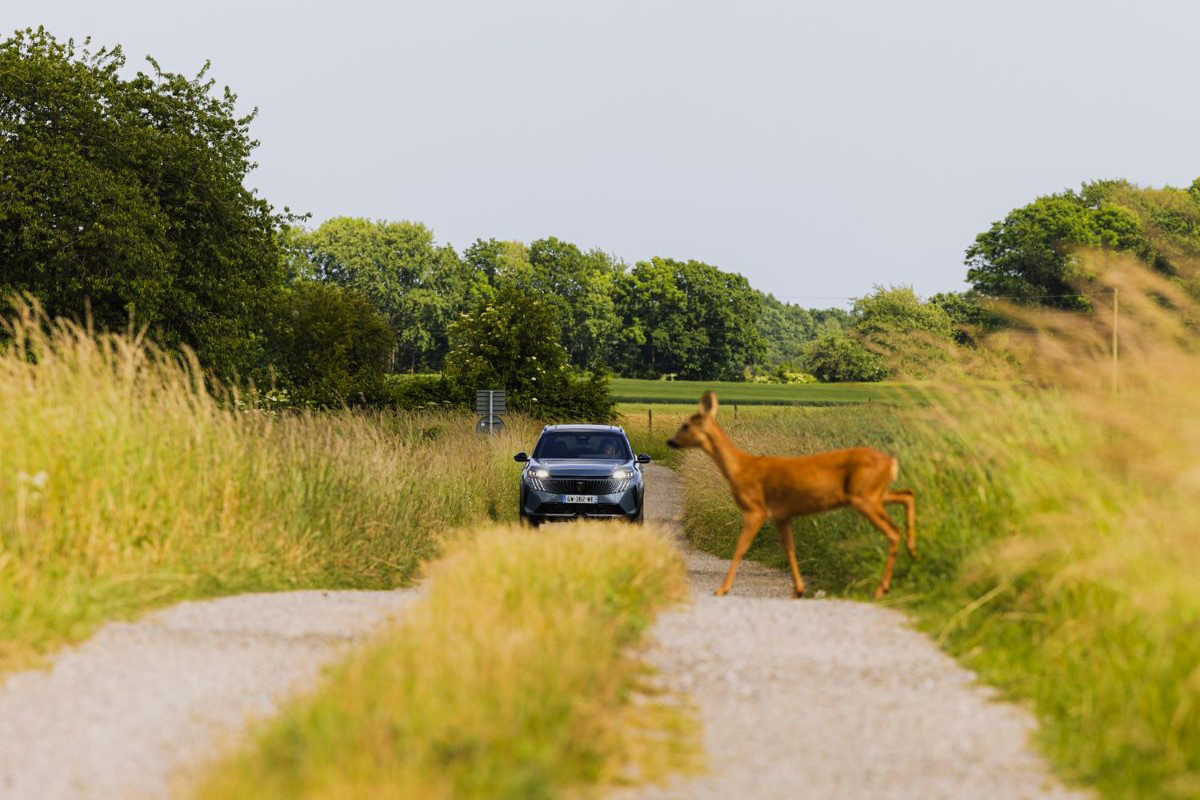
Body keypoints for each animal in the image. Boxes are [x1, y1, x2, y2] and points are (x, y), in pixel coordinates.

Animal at [667, 391, 916, 597]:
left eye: (686, 425)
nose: (670, 441)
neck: (740, 468)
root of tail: (891, 462)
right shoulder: (781, 514)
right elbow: (790, 549)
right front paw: (798, 589)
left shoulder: (755, 508)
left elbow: (740, 548)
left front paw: (722, 589)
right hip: (874, 493)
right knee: (907, 495)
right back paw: (911, 552)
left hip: (865, 497)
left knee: (893, 530)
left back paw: (882, 587)